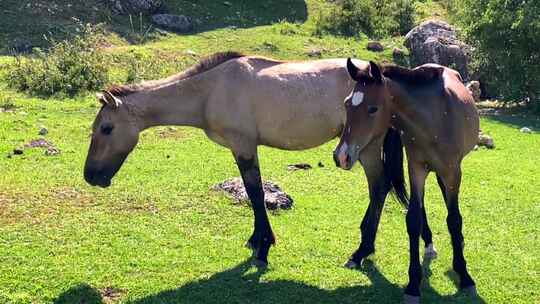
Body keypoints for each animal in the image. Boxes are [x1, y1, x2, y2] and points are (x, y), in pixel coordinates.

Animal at [334, 58, 480, 302]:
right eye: (347, 104)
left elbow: (454, 220)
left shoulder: (453, 171)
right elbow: (413, 219)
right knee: (421, 206)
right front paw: (413, 284)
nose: (341, 156)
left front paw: (465, 275)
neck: (435, 119)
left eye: (373, 108)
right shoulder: (416, 168)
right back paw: (428, 243)